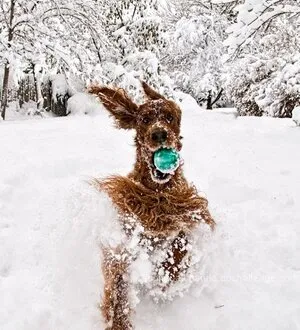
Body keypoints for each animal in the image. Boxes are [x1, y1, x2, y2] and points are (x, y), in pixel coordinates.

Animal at [89, 82, 216, 330]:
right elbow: (118, 281)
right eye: (145, 119)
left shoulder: (181, 216)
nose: (159, 134)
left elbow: (179, 246)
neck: (157, 194)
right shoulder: (124, 237)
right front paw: (117, 318)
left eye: (169, 117)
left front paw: (168, 274)